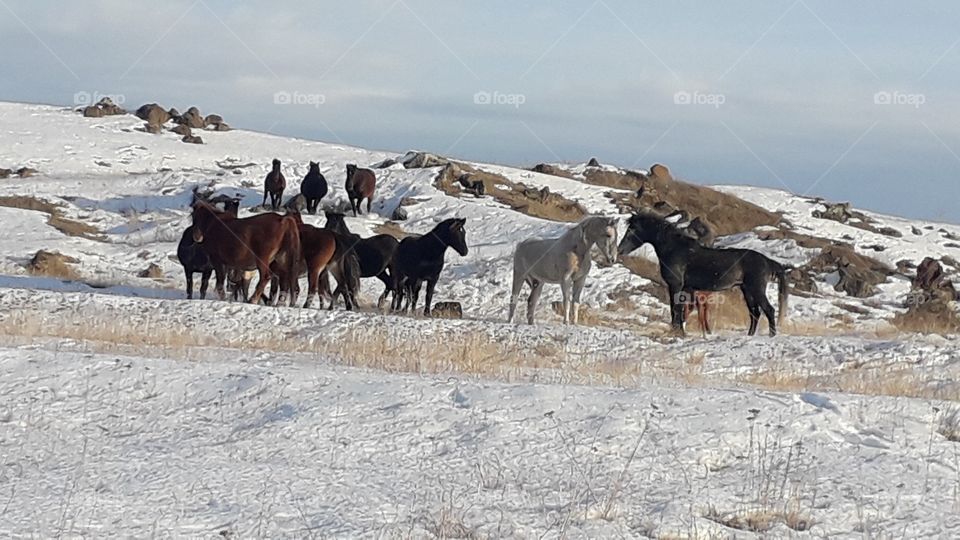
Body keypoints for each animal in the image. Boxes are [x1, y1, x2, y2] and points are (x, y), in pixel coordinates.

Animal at [618, 212, 788, 336]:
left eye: (632, 229)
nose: (620, 249)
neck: (675, 249)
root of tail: (767, 260)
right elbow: (681, 311)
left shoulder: (675, 286)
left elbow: (676, 309)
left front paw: (678, 333)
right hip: (747, 290)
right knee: (755, 313)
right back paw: (750, 335)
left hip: (756, 289)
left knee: (769, 310)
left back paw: (772, 336)